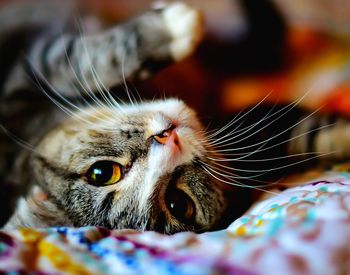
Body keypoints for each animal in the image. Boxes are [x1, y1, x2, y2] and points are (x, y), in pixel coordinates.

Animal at [0, 0, 350, 235]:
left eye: (102, 173)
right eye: (178, 203)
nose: (167, 138)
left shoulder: (21, 79)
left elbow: (79, 61)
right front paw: (173, 30)